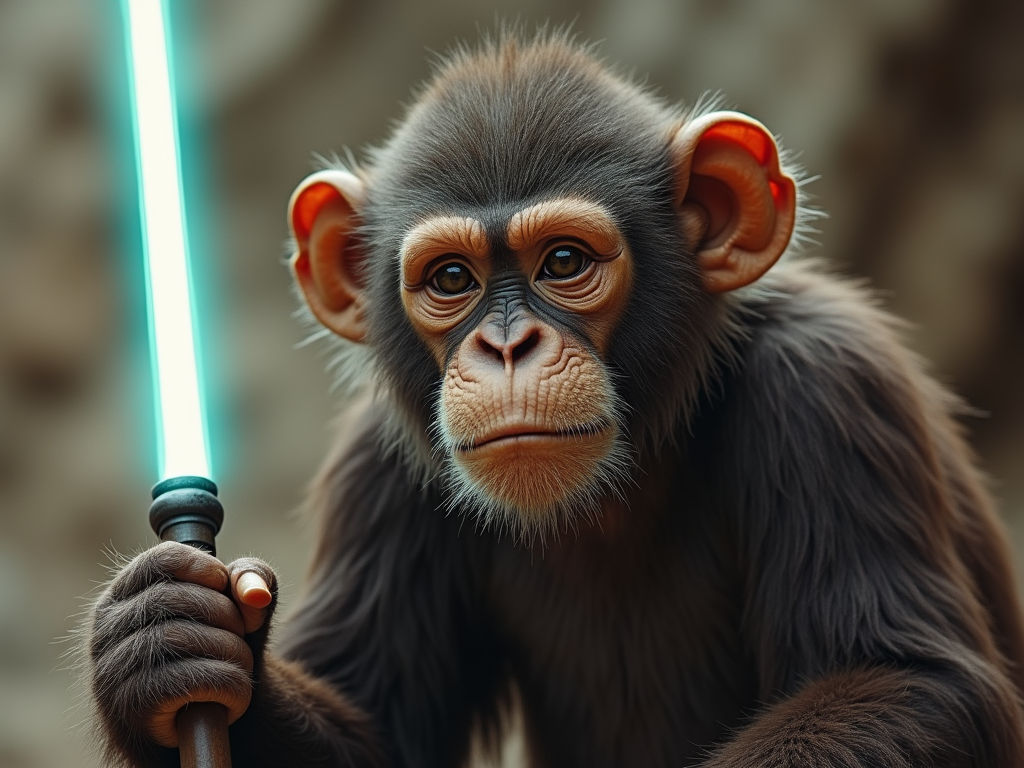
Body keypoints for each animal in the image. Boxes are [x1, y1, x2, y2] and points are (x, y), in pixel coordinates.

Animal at [85, 32, 1024, 768]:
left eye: (564, 263)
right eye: (451, 280)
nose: (506, 347)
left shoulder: (825, 387)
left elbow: (905, 682)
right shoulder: (377, 468)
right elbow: (374, 734)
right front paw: (160, 638)